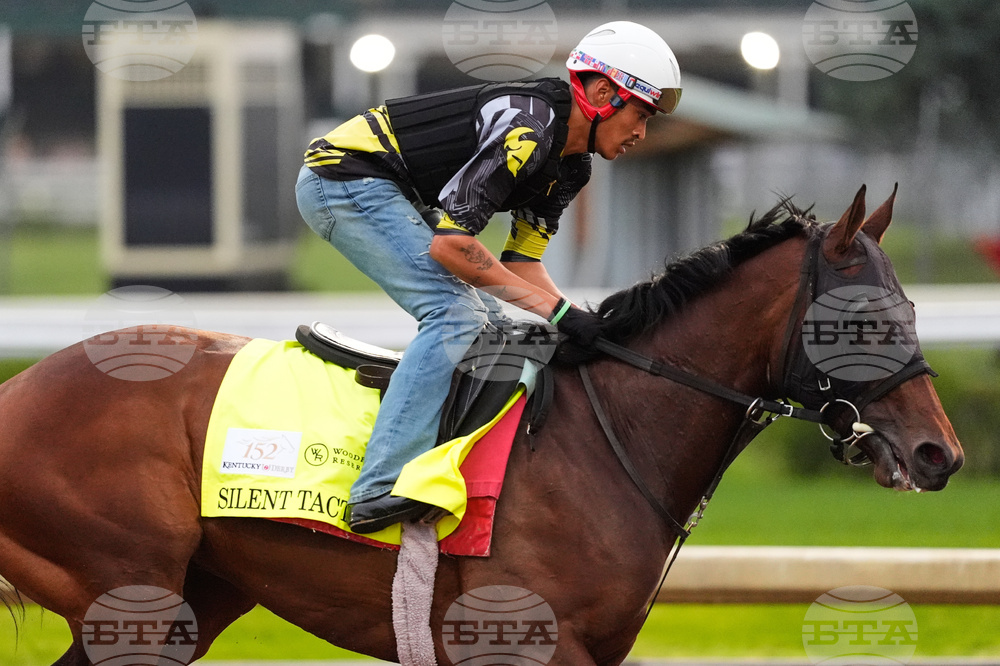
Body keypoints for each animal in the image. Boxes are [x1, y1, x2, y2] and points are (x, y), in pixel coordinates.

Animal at [0, 186, 963, 666]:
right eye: (858, 324)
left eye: (912, 309)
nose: (939, 453)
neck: (605, 440)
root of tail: (23, 388)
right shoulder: (521, 641)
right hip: (130, 592)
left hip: (197, 595)